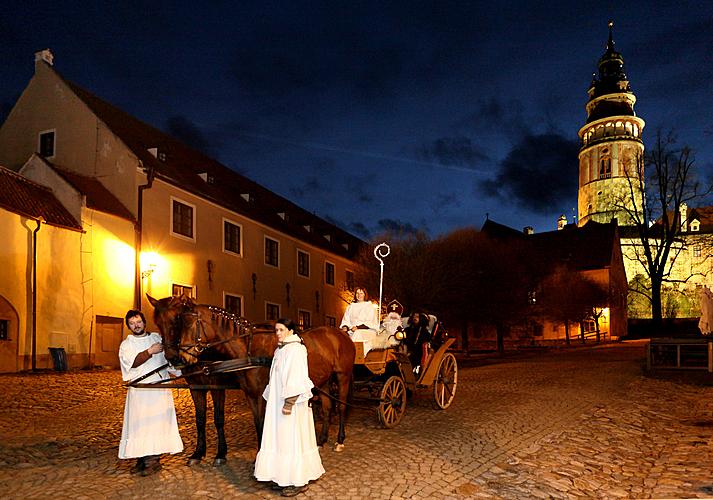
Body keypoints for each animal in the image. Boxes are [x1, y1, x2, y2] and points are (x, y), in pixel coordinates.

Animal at [148, 294, 356, 462]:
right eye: (158, 323)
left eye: (182, 323)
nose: (178, 358)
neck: (249, 350)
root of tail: (340, 333)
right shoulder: (240, 393)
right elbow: (248, 422)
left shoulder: (228, 388)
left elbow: (234, 419)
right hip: (324, 380)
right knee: (328, 407)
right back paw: (321, 440)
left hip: (343, 377)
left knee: (342, 406)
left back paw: (339, 440)